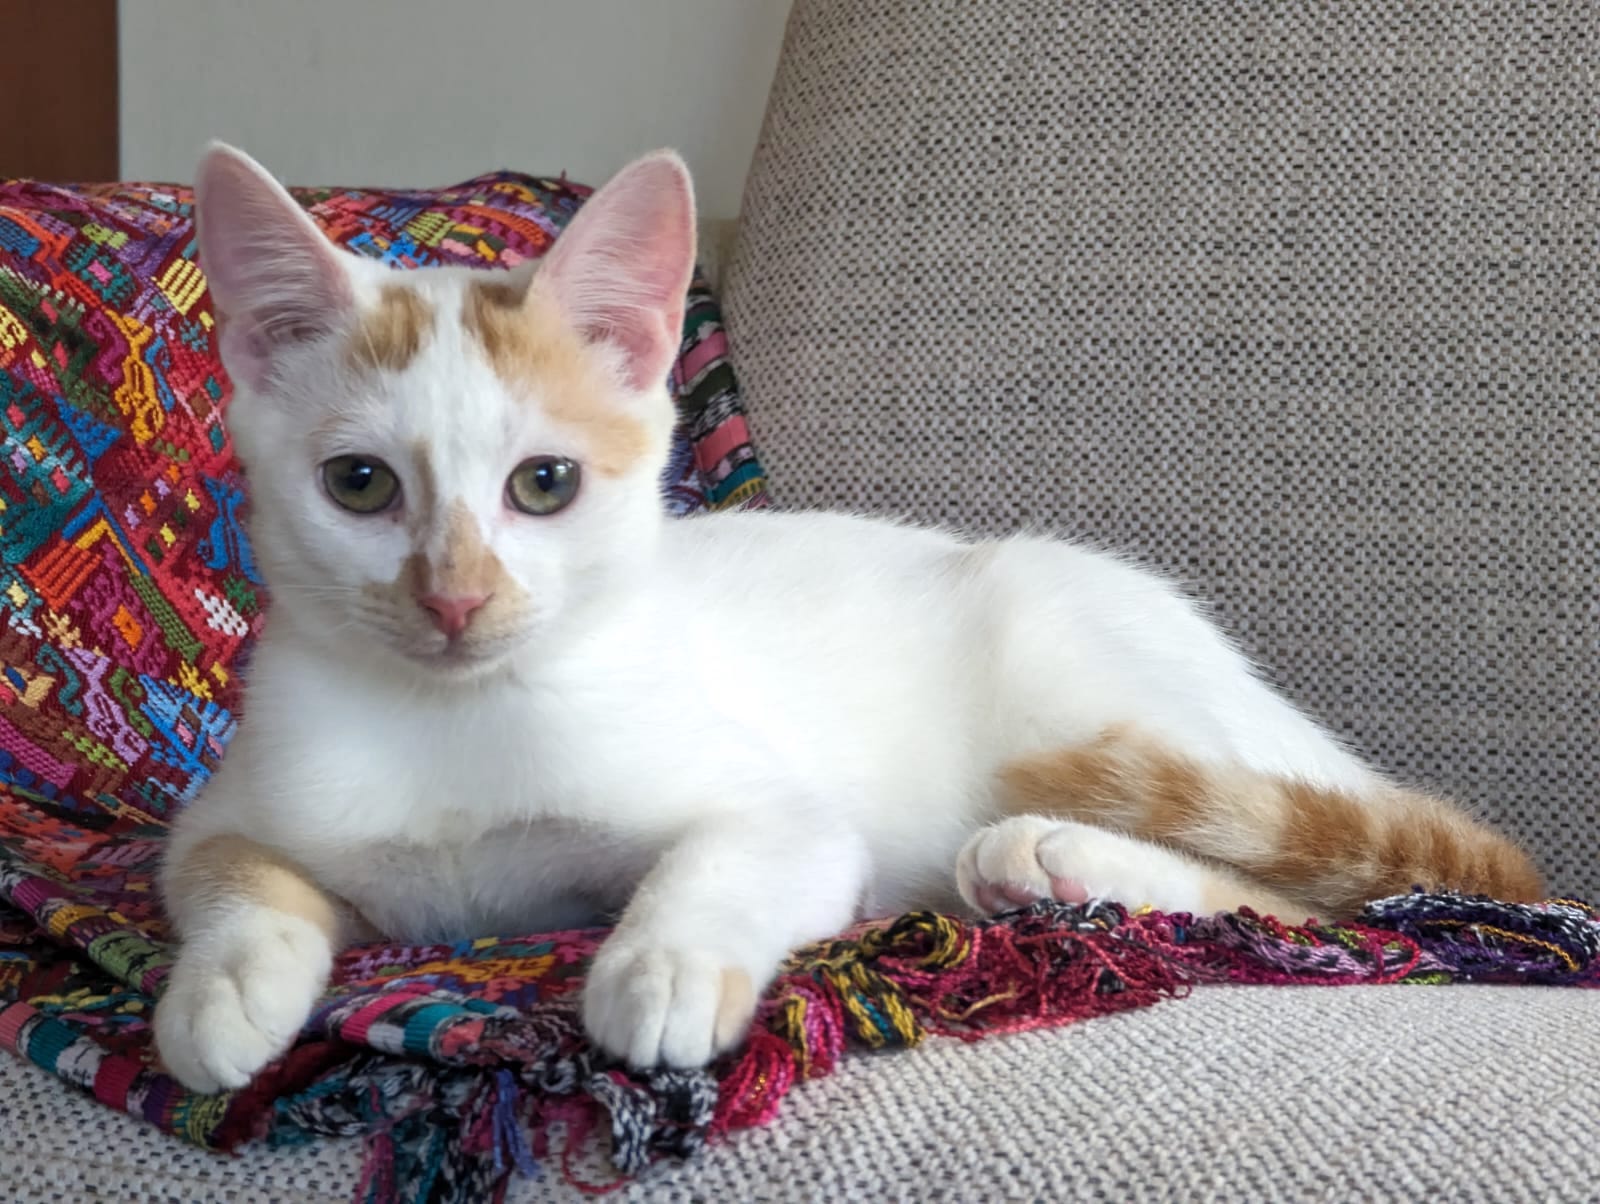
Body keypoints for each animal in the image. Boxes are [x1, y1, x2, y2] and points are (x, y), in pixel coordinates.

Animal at [156, 140, 1542, 1088]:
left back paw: (1057, 857)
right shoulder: (226, 811)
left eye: (543, 485)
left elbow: (731, 853)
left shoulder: (791, 816)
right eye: (359, 485)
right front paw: (221, 990)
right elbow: (227, 872)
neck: (454, 721)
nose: (454, 597)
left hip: (1078, 669)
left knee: (1319, 907)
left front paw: (659, 965)